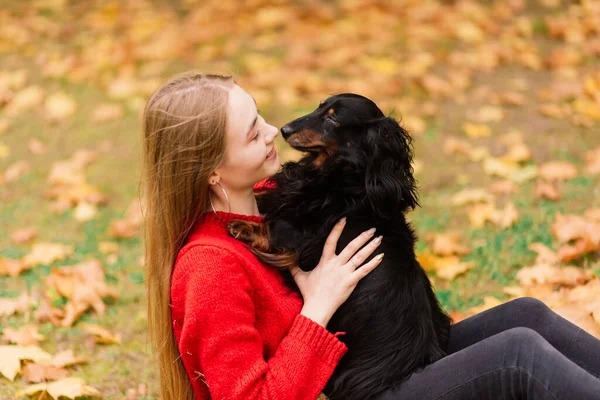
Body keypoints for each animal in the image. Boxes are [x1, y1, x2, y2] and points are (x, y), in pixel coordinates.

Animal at [229, 94, 450, 400]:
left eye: (333, 118)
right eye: (319, 107)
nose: (284, 130)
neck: (345, 179)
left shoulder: (303, 238)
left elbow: (274, 227)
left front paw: (240, 224)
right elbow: (267, 196)